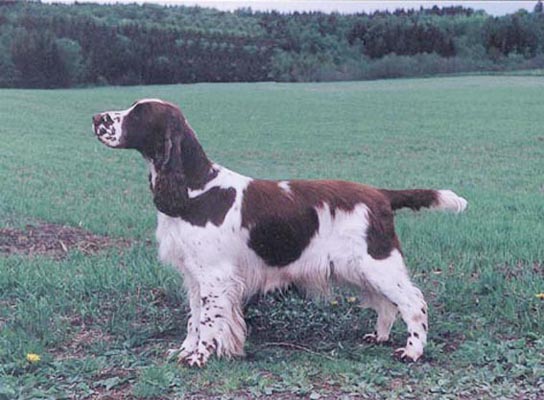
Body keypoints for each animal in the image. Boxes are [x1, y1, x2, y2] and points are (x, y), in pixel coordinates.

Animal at [91, 99, 466, 366]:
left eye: (138, 114)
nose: (95, 118)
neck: (195, 190)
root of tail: (380, 194)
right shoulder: (194, 275)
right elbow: (194, 318)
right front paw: (184, 351)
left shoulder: (214, 275)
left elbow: (208, 320)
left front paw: (198, 357)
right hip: (357, 268)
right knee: (387, 304)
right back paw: (380, 337)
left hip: (377, 262)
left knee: (413, 302)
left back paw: (412, 352)